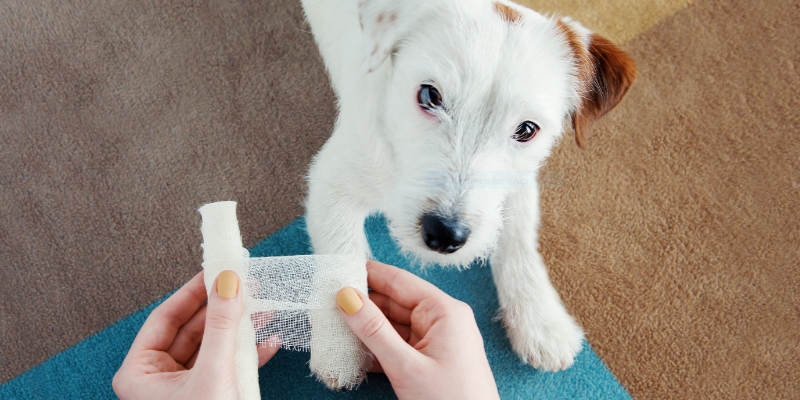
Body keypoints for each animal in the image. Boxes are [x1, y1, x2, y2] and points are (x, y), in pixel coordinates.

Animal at [300, 0, 636, 390]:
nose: (445, 235)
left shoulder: (518, 182)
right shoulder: (331, 182)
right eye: (430, 95)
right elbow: (340, 262)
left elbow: (519, 238)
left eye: (527, 130)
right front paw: (340, 347)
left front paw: (540, 319)